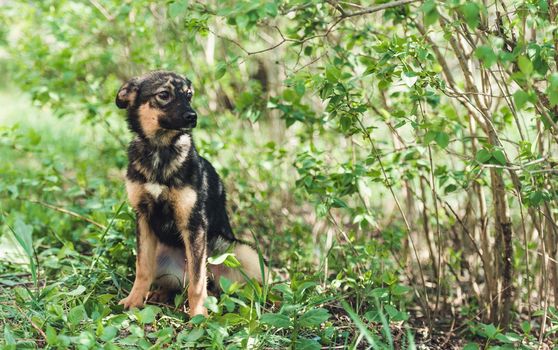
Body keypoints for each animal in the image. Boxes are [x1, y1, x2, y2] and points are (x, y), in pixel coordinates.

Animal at [115, 69, 268, 316]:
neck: (160, 150)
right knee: (176, 285)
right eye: (164, 95)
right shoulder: (143, 218)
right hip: (161, 254)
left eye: (188, 95)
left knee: (221, 285)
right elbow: (142, 270)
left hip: (242, 252)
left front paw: (198, 316)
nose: (192, 117)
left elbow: (197, 283)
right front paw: (134, 301)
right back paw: (159, 293)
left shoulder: (194, 223)